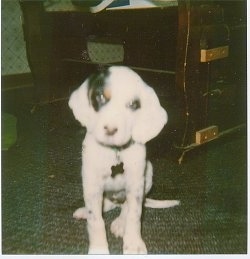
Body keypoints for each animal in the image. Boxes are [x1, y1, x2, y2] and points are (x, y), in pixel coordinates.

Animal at [68, 66, 179, 255]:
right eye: (100, 96)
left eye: (133, 105)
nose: (110, 129)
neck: (115, 151)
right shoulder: (91, 184)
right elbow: (95, 220)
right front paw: (98, 248)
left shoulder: (136, 184)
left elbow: (134, 215)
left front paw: (133, 244)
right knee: (105, 206)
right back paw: (87, 210)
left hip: (148, 174)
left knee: (125, 207)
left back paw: (120, 223)